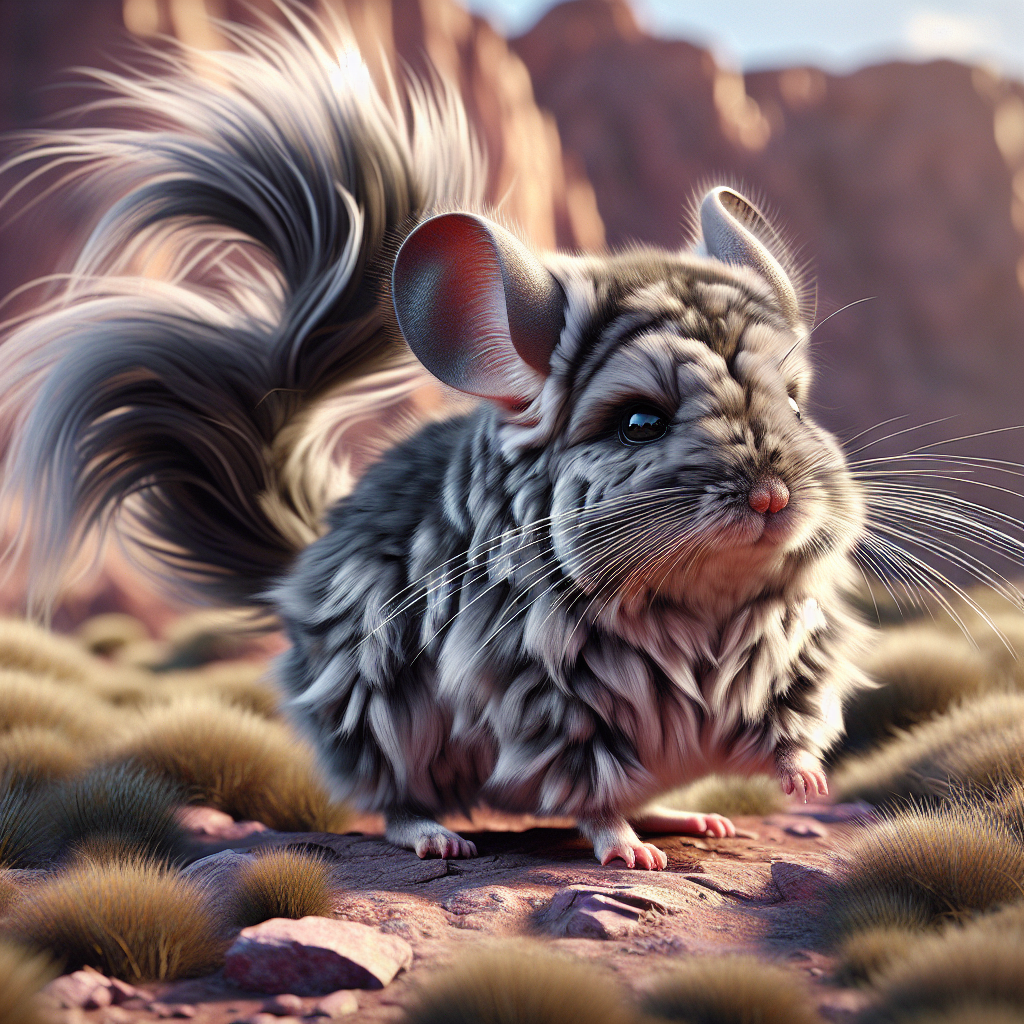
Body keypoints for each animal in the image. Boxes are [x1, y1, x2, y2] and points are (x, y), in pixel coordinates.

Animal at [0, 9, 871, 868]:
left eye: (797, 404)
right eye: (639, 421)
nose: (773, 496)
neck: (700, 610)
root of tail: (302, 567)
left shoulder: (799, 666)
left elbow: (790, 734)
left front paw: (805, 785)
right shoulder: (551, 708)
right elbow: (591, 797)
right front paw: (627, 854)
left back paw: (692, 817)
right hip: (377, 714)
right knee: (394, 799)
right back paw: (443, 837)